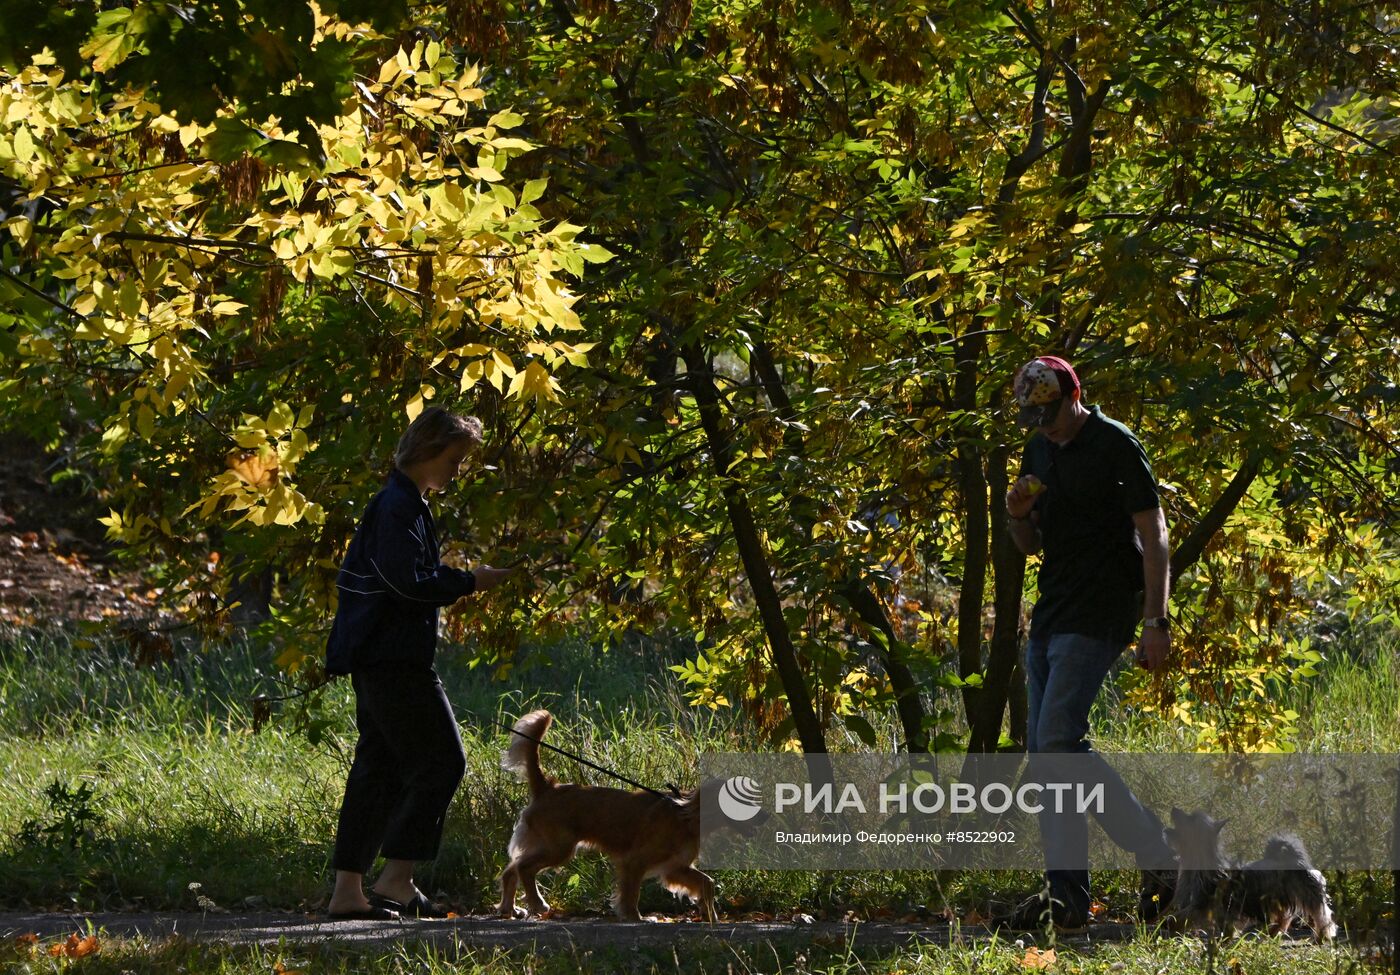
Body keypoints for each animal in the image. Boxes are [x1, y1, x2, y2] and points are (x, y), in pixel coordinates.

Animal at [495, 708, 716, 918]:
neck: (684, 813)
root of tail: (548, 787)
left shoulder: (675, 868)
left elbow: (707, 882)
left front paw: (709, 914)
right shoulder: (634, 861)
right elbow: (631, 893)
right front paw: (634, 916)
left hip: (549, 847)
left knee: (511, 870)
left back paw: (509, 909)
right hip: (557, 848)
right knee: (523, 868)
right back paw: (537, 903)